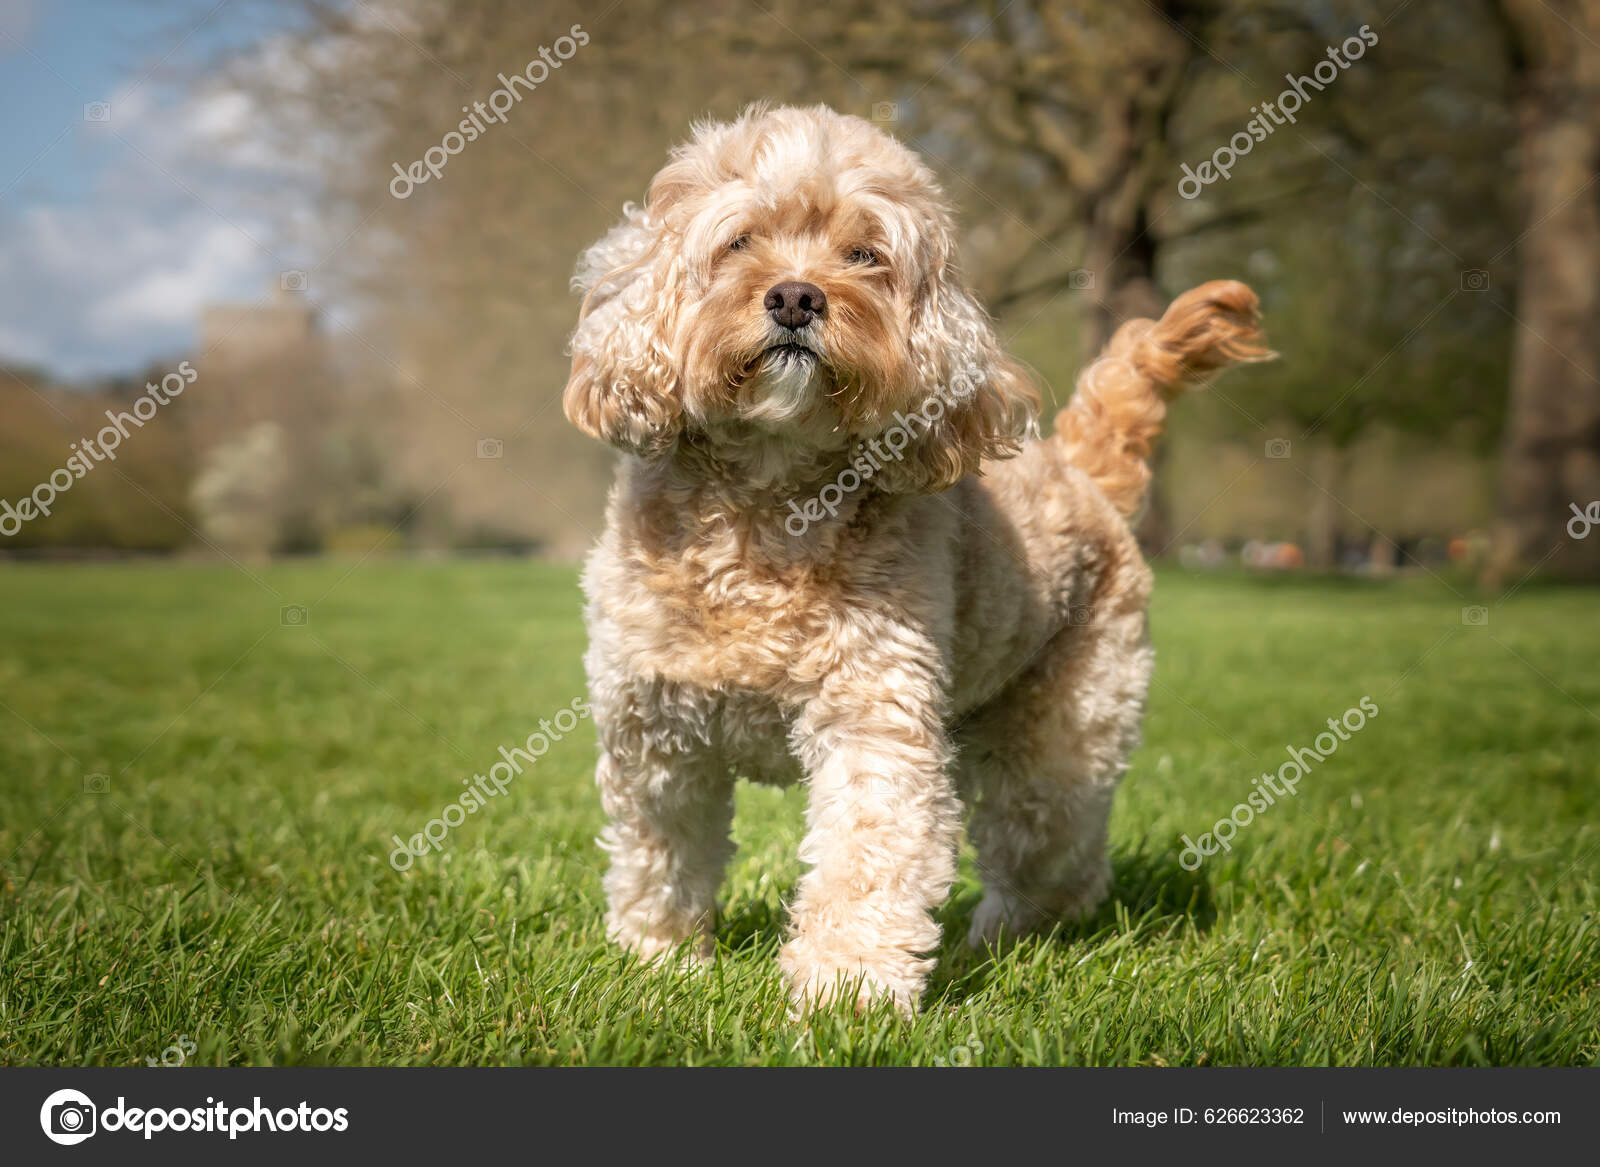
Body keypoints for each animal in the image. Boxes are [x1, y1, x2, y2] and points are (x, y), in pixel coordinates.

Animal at [569, 104, 1267, 1011]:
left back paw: (1009, 939)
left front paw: (847, 990)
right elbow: (663, 854)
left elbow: (867, 855)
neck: (769, 504)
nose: (796, 296)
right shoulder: (654, 726)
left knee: (1054, 853)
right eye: (740, 240)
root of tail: (1081, 468)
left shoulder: (875, 717)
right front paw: (658, 961)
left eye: (865, 253)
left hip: (1063, 734)